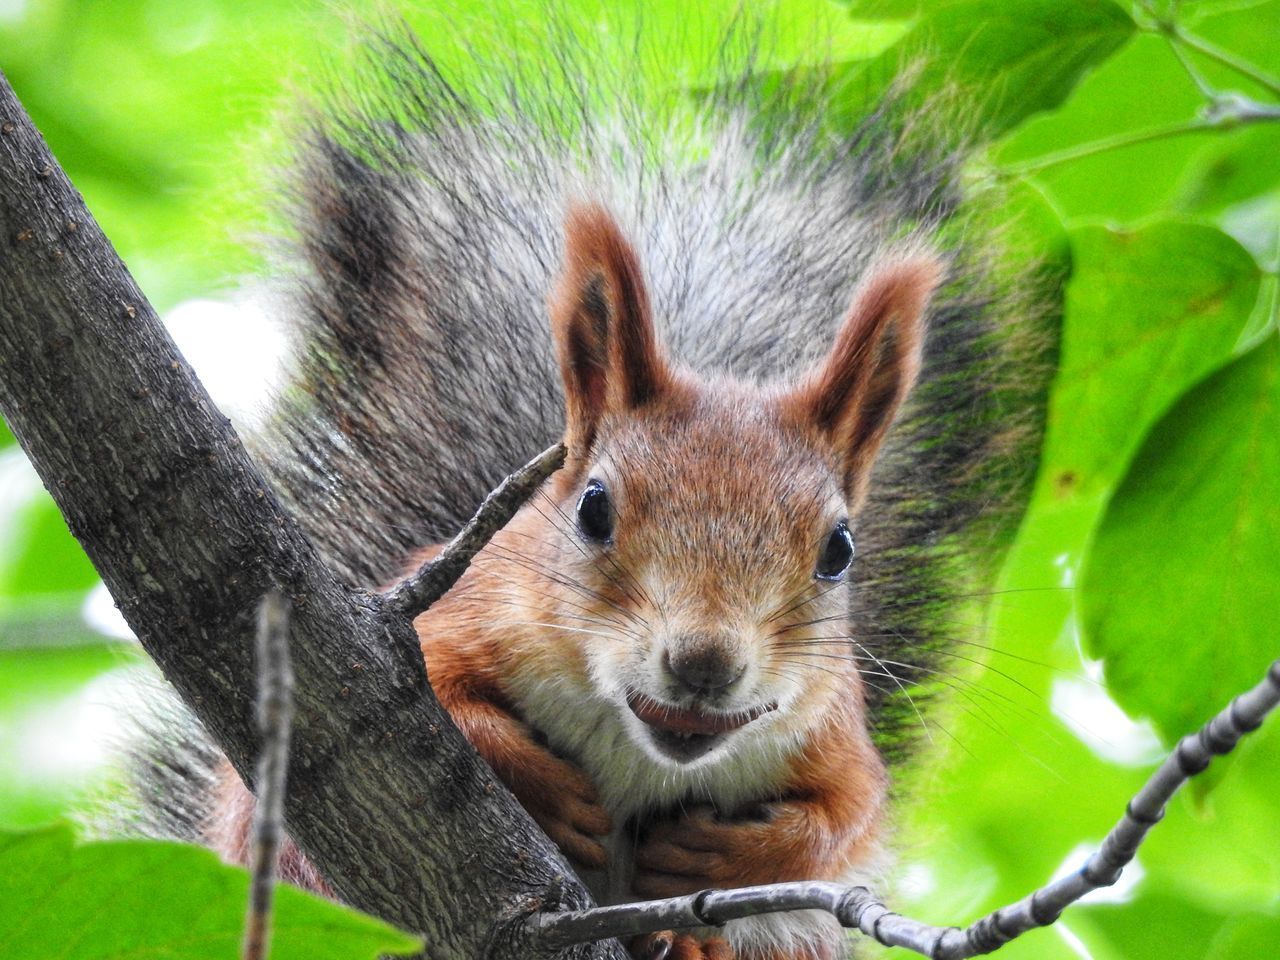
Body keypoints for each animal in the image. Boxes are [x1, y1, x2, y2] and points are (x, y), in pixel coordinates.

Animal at [132, 18, 1049, 960]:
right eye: (594, 508)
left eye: (839, 550)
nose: (704, 662)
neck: (634, 742)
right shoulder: (443, 623)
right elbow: (449, 702)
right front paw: (541, 785)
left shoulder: (832, 732)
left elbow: (844, 817)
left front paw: (724, 859)